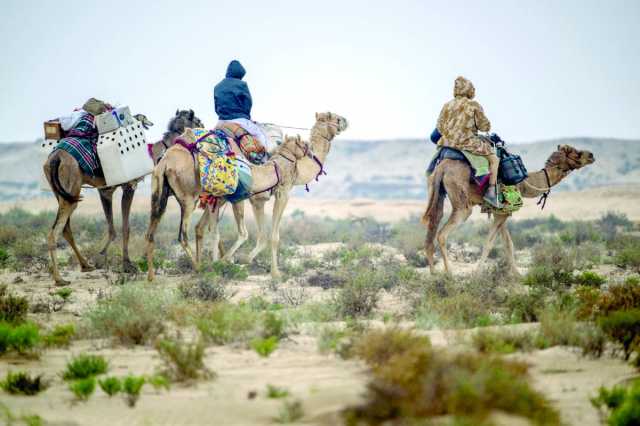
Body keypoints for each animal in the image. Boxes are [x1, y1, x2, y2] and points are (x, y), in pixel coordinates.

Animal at [44, 109, 202, 286]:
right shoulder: (128, 187)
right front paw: (126, 264)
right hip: (71, 187)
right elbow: (126, 228)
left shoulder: (106, 191)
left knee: (65, 228)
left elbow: (113, 227)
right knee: (55, 231)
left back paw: (85, 265)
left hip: (62, 192)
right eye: (196, 120)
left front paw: (105, 257)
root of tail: (55, 158)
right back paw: (59, 279)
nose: (202, 125)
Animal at [143, 131, 318, 282]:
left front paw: (218, 263)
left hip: (158, 194)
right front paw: (227, 261)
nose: (312, 154)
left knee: (151, 232)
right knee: (182, 236)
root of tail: (164, 162)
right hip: (189, 199)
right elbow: (243, 233)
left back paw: (151, 277)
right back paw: (199, 269)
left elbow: (214, 233)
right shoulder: (237, 199)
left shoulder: (215, 200)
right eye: (304, 144)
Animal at [194, 112, 350, 280]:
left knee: (202, 227)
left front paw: (239, 261)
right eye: (336, 118)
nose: (346, 121)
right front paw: (273, 272)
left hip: (215, 197)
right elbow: (270, 236)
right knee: (218, 229)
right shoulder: (272, 195)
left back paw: (201, 264)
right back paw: (215, 263)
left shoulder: (258, 199)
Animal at [422, 145, 596, 274]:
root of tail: (442, 167)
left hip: (436, 191)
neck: (523, 183)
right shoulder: (504, 210)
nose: (591, 155)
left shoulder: (501, 212)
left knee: (432, 226)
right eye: (575, 153)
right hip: (462, 202)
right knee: (442, 234)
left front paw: (517, 274)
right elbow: (489, 243)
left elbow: (508, 244)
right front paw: (477, 273)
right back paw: (449, 273)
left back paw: (433, 273)